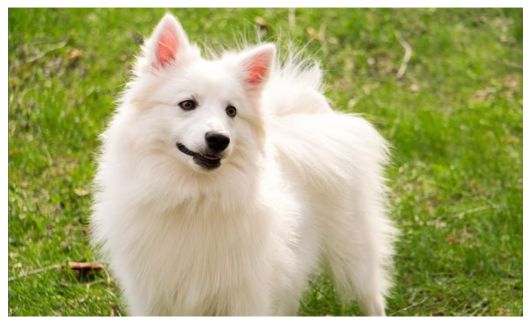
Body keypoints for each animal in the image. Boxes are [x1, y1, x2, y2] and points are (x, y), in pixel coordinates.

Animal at [92, 13, 396, 316]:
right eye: (187, 104)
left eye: (231, 111)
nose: (218, 139)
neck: (194, 196)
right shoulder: (153, 298)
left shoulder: (245, 294)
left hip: (353, 250)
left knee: (372, 295)